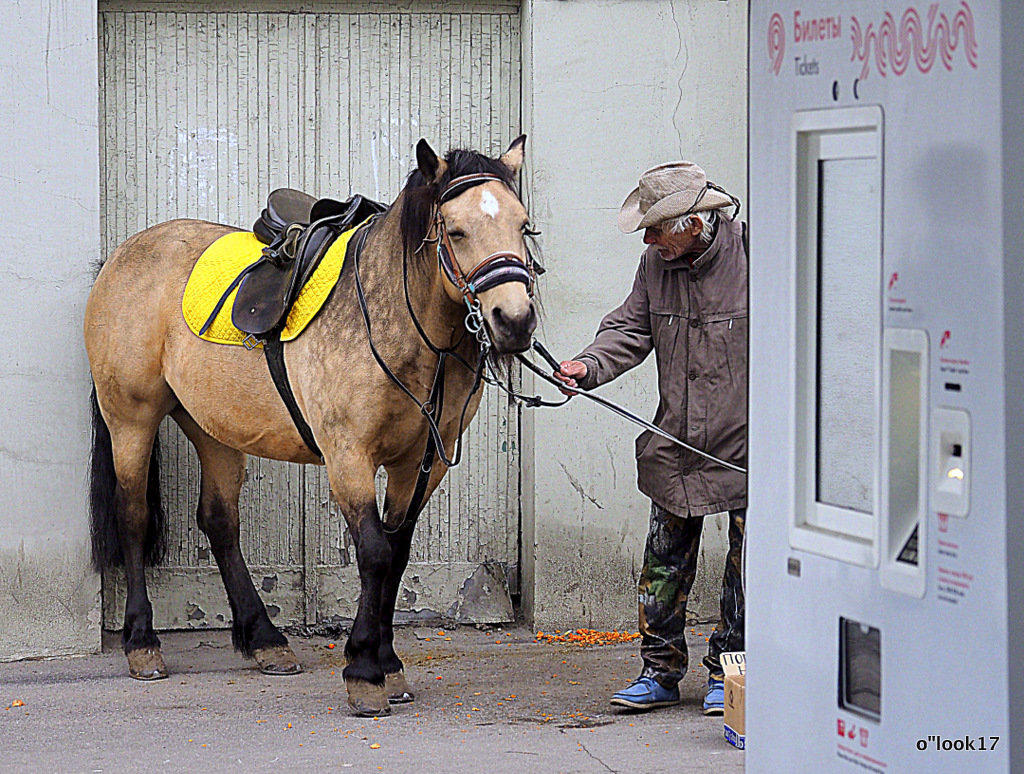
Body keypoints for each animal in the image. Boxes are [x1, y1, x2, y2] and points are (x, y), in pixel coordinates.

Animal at [83, 134, 540, 712]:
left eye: (523, 225)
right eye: (455, 230)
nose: (515, 320)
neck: (398, 320)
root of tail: (120, 256)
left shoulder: (419, 463)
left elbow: (397, 555)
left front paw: (388, 664)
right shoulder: (348, 455)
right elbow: (374, 554)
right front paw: (364, 670)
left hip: (213, 427)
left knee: (219, 521)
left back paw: (265, 640)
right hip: (131, 418)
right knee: (134, 516)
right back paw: (142, 643)